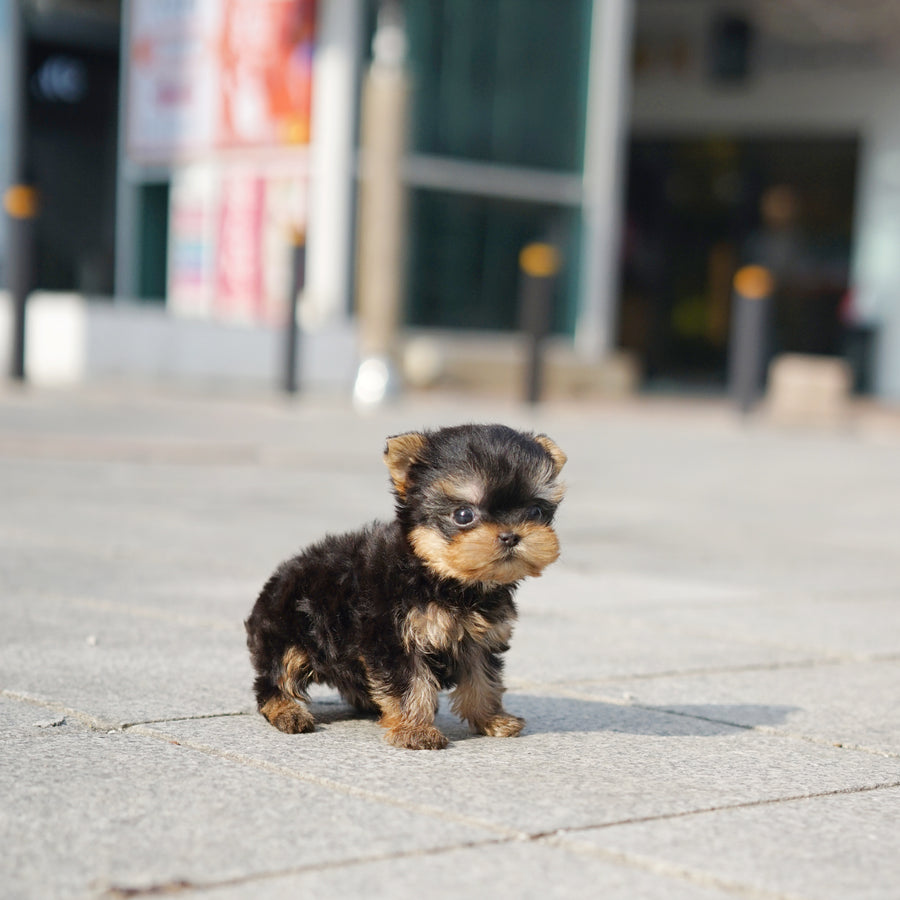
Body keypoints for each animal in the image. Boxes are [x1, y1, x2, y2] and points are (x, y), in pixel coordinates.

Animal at [243, 426, 568, 748]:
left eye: (536, 512)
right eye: (464, 515)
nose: (511, 536)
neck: (441, 575)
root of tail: (278, 577)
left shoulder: (480, 639)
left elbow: (483, 680)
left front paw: (492, 718)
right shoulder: (393, 636)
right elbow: (410, 685)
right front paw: (416, 730)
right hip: (286, 630)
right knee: (274, 677)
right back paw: (287, 711)